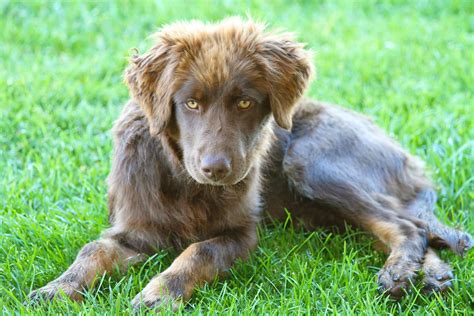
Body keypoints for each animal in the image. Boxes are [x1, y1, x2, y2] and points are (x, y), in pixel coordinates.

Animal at [28, 16, 470, 308]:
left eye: (244, 103)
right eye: (190, 103)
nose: (217, 169)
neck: (185, 180)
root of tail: (403, 154)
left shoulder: (240, 236)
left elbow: (198, 252)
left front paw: (159, 293)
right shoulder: (134, 228)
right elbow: (92, 251)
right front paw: (56, 289)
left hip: (310, 161)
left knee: (406, 226)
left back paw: (400, 272)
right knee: (414, 227)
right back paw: (432, 274)